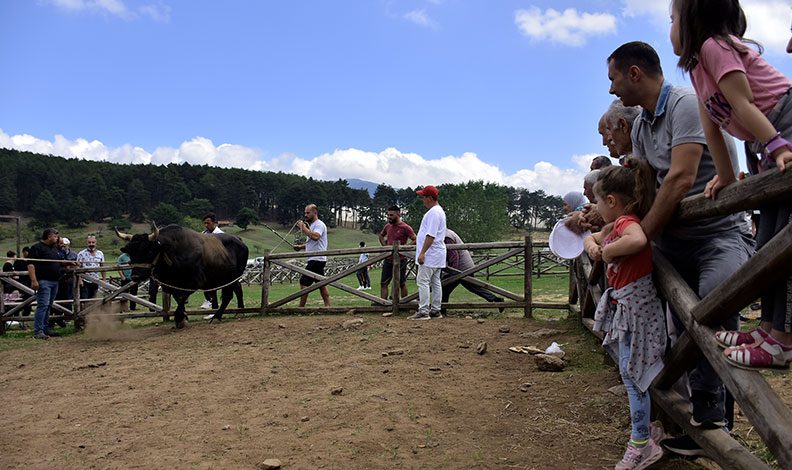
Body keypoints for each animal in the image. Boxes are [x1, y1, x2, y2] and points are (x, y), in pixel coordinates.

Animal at [115, 224, 249, 328]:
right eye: (131, 252)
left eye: (149, 251)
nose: (136, 276)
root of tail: (239, 240)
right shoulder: (169, 284)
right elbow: (177, 297)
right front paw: (183, 316)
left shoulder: (196, 281)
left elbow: (181, 298)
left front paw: (179, 318)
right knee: (237, 290)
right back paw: (239, 311)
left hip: (231, 277)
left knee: (228, 295)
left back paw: (217, 316)